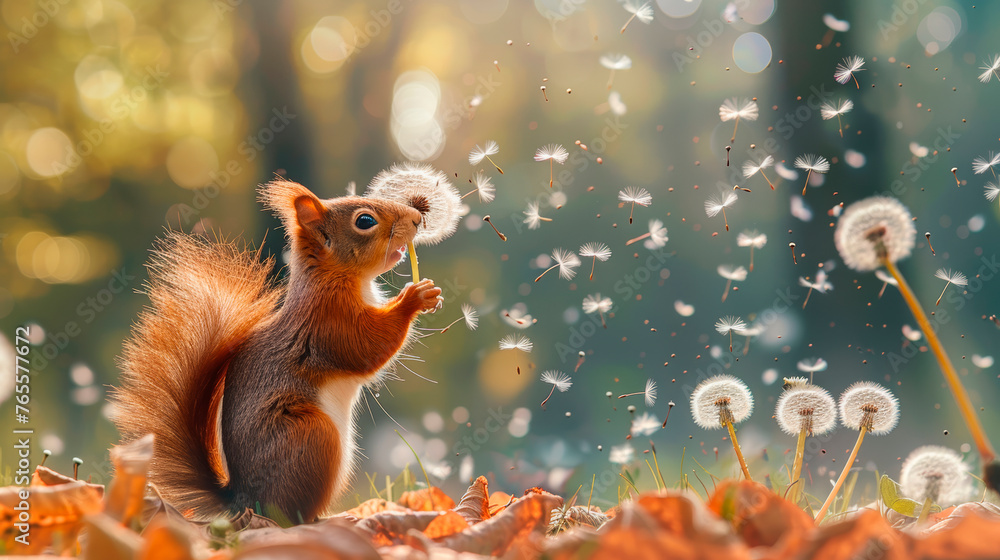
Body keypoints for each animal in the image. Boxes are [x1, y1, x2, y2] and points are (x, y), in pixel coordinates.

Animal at [111, 179, 442, 523]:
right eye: (365, 221)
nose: (417, 218)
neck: (336, 276)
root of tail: (243, 500)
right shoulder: (326, 321)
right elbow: (365, 346)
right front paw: (414, 298)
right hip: (309, 434)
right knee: (292, 515)